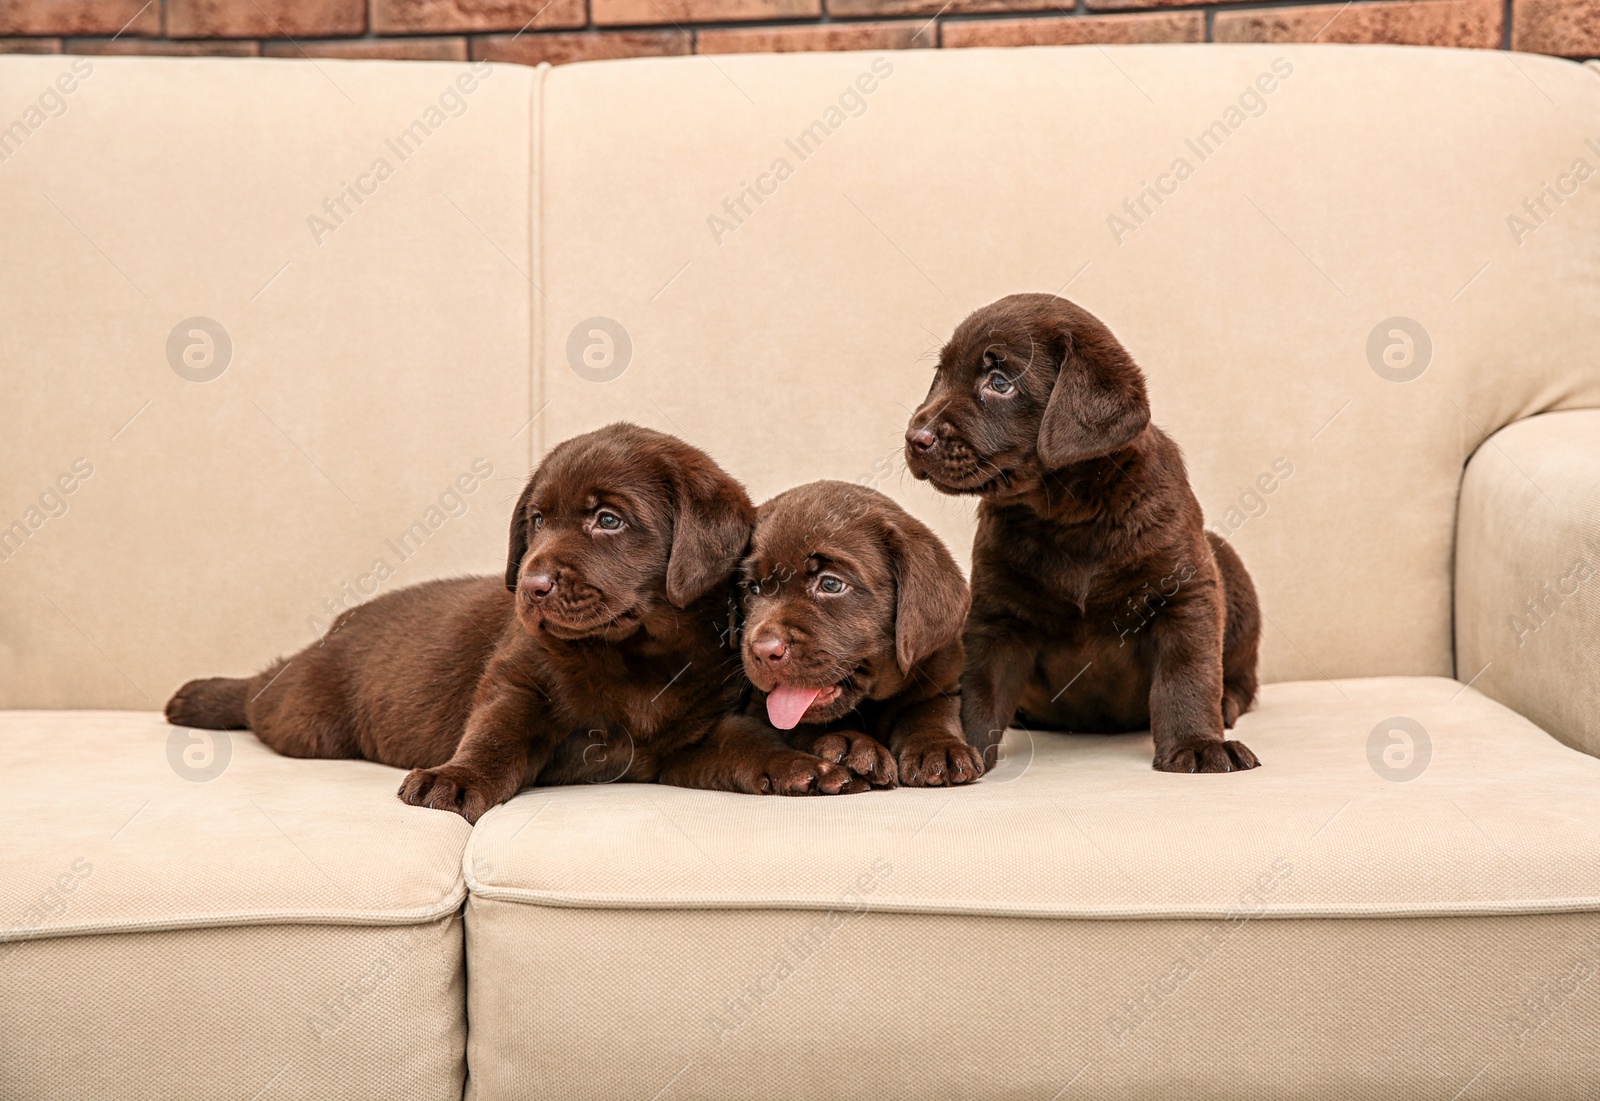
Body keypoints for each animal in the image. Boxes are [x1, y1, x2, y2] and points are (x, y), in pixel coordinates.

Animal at [165, 422, 864, 816]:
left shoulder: (694, 737)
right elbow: (495, 738)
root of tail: (335, 629)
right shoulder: (518, 684)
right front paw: (454, 780)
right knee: (261, 693)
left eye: (607, 519)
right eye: (536, 520)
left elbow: (747, 743)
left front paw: (803, 768)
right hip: (307, 719)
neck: (634, 655)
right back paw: (198, 695)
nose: (531, 583)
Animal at [732, 480, 979, 784]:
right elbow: (803, 723)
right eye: (752, 588)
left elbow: (932, 711)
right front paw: (853, 743)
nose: (764, 651)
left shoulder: (942, 676)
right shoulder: (761, 708)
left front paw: (939, 747)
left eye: (831, 584)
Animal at [902, 292, 1260, 774]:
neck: (1069, 518)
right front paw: (955, 746)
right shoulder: (996, 615)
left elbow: (1187, 675)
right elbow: (978, 691)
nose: (914, 438)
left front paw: (1198, 743)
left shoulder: (1185, 593)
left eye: (1000, 383)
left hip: (1226, 568)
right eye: (940, 375)